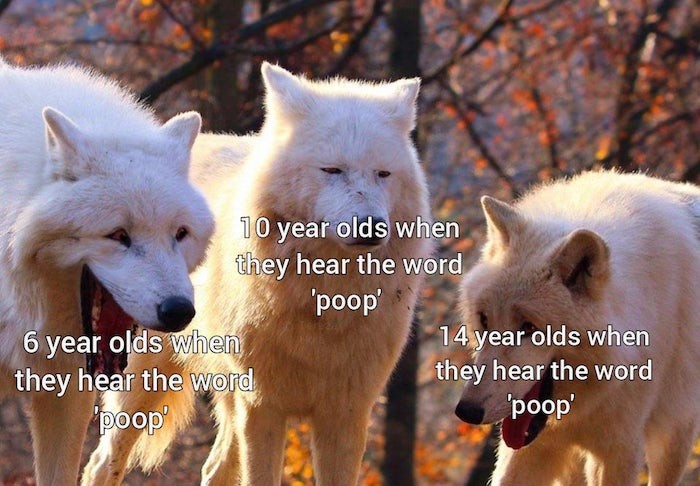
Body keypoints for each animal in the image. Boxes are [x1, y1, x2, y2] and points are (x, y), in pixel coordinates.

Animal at [83, 63, 432, 485]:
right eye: (332, 170)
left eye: (383, 174)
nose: (371, 227)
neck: (326, 299)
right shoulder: (262, 406)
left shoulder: (346, 413)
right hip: (143, 382)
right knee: (101, 463)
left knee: (214, 468)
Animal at [455, 171, 700, 485]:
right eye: (485, 320)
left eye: (528, 327)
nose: (467, 411)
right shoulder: (531, 446)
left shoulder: (620, 450)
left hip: (673, 438)